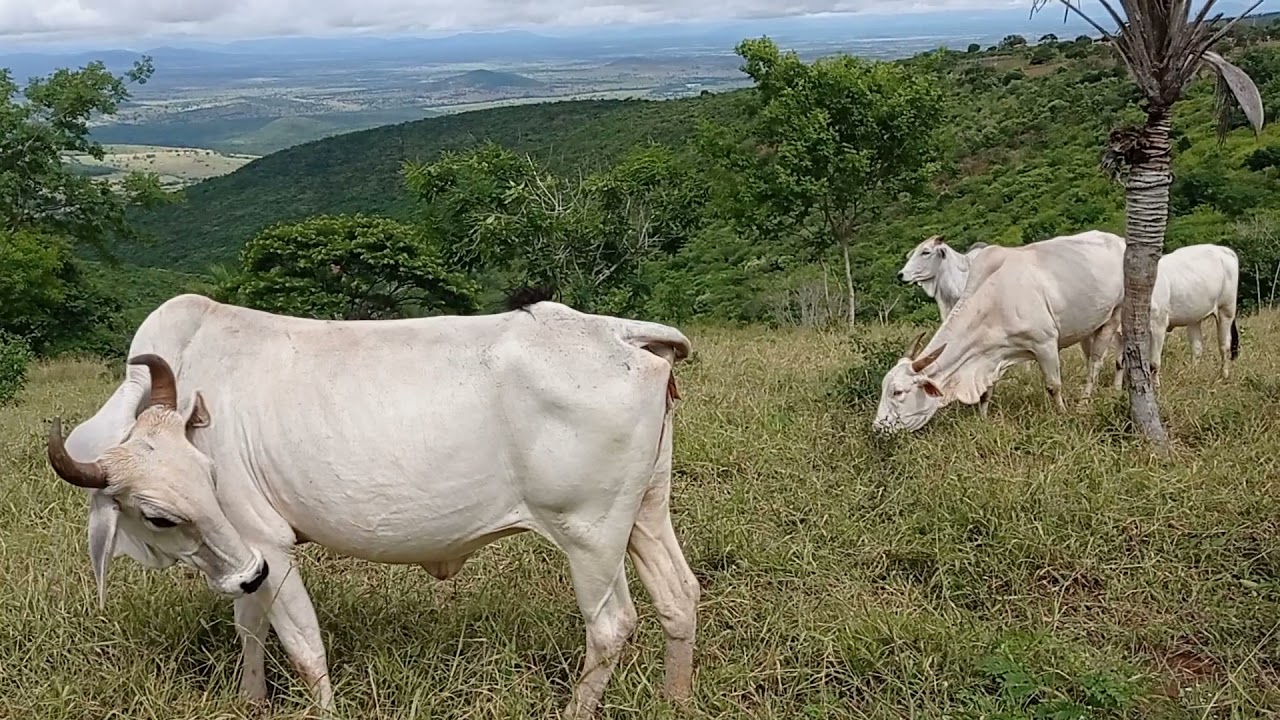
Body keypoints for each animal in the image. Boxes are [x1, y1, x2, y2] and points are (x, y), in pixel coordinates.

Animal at [45, 291, 699, 719]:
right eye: (161, 514)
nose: (246, 573)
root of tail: (621, 334)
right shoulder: (246, 554)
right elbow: (249, 627)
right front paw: (252, 699)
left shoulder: (267, 544)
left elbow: (305, 649)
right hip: (645, 511)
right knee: (679, 596)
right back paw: (677, 698)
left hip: (590, 533)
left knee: (611, 625)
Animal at [874, 230, 1126, 433]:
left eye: (898, 392)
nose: (877, 427)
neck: (994, 299)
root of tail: (1119, 240)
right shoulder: (991, 356)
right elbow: (986, 392)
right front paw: (983, 420)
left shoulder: (1044, 343)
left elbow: (1053, 386)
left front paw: (1063, 415)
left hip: (1114, 316)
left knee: (1096, 364)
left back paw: (1086, 401)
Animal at [1111, 243, 1240, 390]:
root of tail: (1223, 249)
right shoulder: (1120, 332)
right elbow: (1119, 362)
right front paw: (1116, 388)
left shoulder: (1158, 326)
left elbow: (1153, 363)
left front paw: (1156, 386)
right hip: (1194, 317)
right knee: (1197, 348)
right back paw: (1192, 374)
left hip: (1226, 310)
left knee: (1224, 346)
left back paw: (1223, 376)